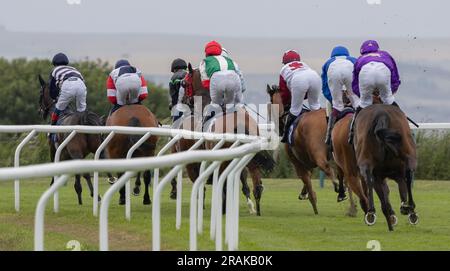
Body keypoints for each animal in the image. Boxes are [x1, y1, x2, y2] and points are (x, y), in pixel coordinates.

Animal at [37, 75, 103, 205]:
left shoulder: (54, 150)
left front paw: (52, 185)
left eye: (40, 93)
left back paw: (95, 195)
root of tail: (83, 119)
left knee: (86, 173)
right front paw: (79, 194)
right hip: (96, 147)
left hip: (76, 151)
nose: (40, 111)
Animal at [266, 84, 342, 216]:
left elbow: (307, 181)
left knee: (325, 166)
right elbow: (309, 176)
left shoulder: (297, 163)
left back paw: (337, 185)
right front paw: (303, 193)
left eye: (271, 102)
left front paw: (314, 205)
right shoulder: (307, 161)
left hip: (318, 151)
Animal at [352, 104, 418, 232]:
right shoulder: (398, 175)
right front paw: (406, 209)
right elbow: (403, 188)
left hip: (366, 162)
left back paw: (372, 212)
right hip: (409, 155)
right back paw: (409, 209)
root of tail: (381, 114)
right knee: (408, 175)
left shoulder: (382, 176)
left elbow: (386, 197)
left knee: (369, 180)